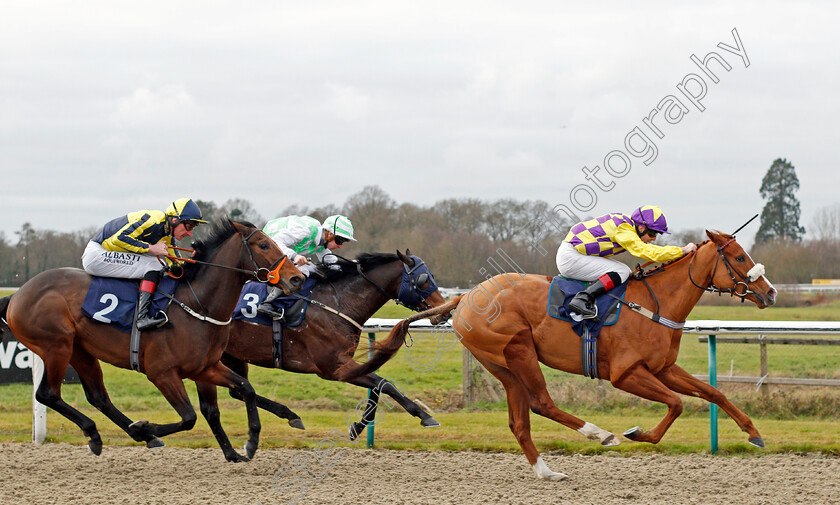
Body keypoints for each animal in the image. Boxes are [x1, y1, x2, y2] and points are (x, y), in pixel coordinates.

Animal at [0, 219, 306, 458]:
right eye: (263, 245)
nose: (297, 279)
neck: (197, 305)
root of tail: (17, 295)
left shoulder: (205, 367)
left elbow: (245, 389)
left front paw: (250, 443)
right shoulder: (162, 373)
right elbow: (190, 417)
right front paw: (144, 426)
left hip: (80, 350)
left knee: (98, 396)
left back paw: (121, 436)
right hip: (56, 347)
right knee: (47, 394)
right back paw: (114, 433)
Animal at [197, 250, 450, 458]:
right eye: (423, 279)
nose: (444, 312)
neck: (338, 303)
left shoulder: (343, 365)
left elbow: (379, 385)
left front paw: (357, 428)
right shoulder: (333, 368)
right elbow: (385, 383)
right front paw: (424, 415)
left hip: (232, 355)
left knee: (237, 390)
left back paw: (290, 415)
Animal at [338, 230, 776, 478]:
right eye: (739, 257)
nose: (769, 292)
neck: (656, 303)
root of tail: (466, 297)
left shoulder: (663, 367)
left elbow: (713, 392)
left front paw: (754, 433)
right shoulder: (626, 373)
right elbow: (676, 404)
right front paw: (638, 433)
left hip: (500, 364)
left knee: (519, 421)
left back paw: (547, 473)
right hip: (518, 350)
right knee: (541, 403)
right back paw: (600, 434)